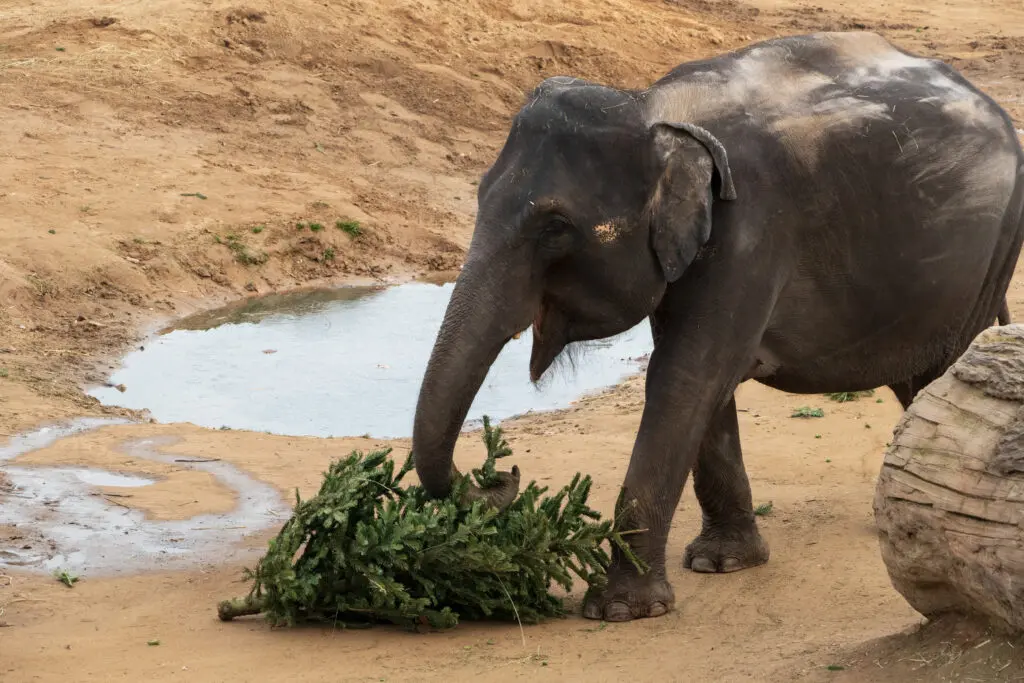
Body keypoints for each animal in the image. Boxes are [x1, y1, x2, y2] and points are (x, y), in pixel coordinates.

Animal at [410, 31, 1024, 623]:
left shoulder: (751, 231)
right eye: (478, 195)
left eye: (555, 227)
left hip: (995, 250)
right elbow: (699, 382)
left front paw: (621, 610)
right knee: (913, 378)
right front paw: (723, 563)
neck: (652, 110)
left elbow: (685, 378)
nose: (503, 472)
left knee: (942, 372)